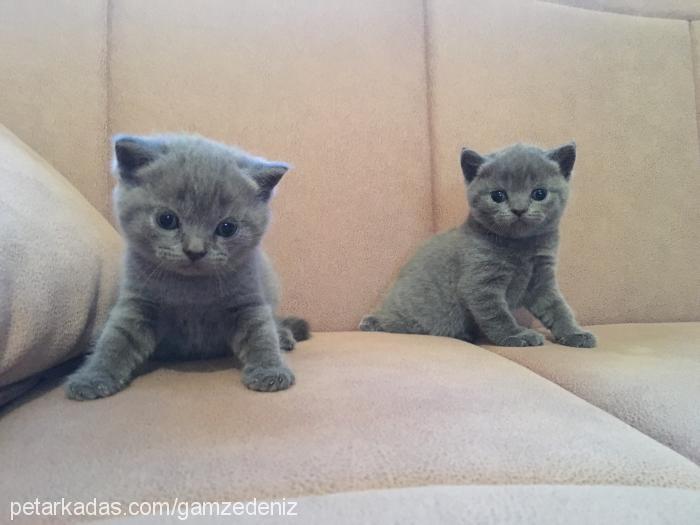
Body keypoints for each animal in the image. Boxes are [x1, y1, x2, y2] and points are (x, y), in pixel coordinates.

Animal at [66, 133, 308, 400]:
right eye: (166, 220)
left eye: (227, 228)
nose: (195, 250)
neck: (190, 292)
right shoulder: (138, 303)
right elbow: (116, 339)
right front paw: (93, 377)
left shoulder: (247, 300)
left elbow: (261, 333)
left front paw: (270, 370)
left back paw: (283, 336)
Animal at [360, 142, 596, 348]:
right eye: (498, 195)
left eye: (539, 193)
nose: (519, 209)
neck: (521, 247)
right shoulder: (479, 283)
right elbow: (497, 315)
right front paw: (517, 335)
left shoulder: (542, 280)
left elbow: (558, 308)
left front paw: (575, 333)